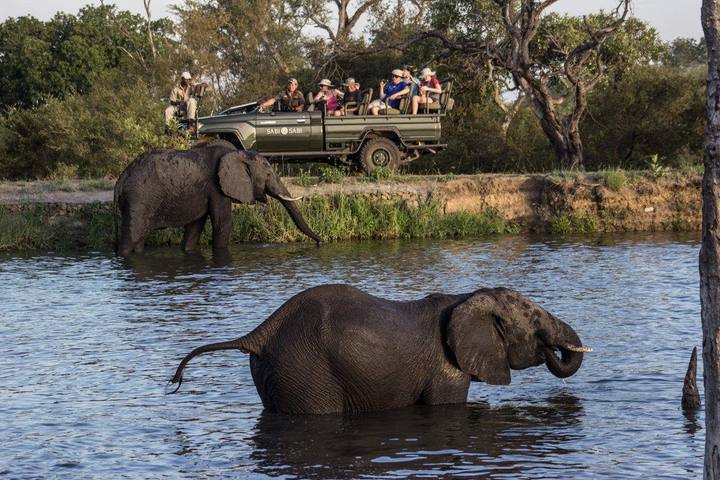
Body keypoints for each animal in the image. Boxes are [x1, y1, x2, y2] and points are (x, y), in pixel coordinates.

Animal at [113, 143, 322, 256]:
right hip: (138, 199)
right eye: (269, 174)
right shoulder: (217, 187)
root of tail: (120, 180)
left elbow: (195, 228)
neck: (238, 154)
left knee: (138, 240)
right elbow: (223, 223)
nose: (320, 242)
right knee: (129, 240)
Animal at [169, 284, 591, 415]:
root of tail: (262, 331)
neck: (469, 297)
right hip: (305, 370)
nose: (554, 349)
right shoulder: (446, 372)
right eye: (534, 322)